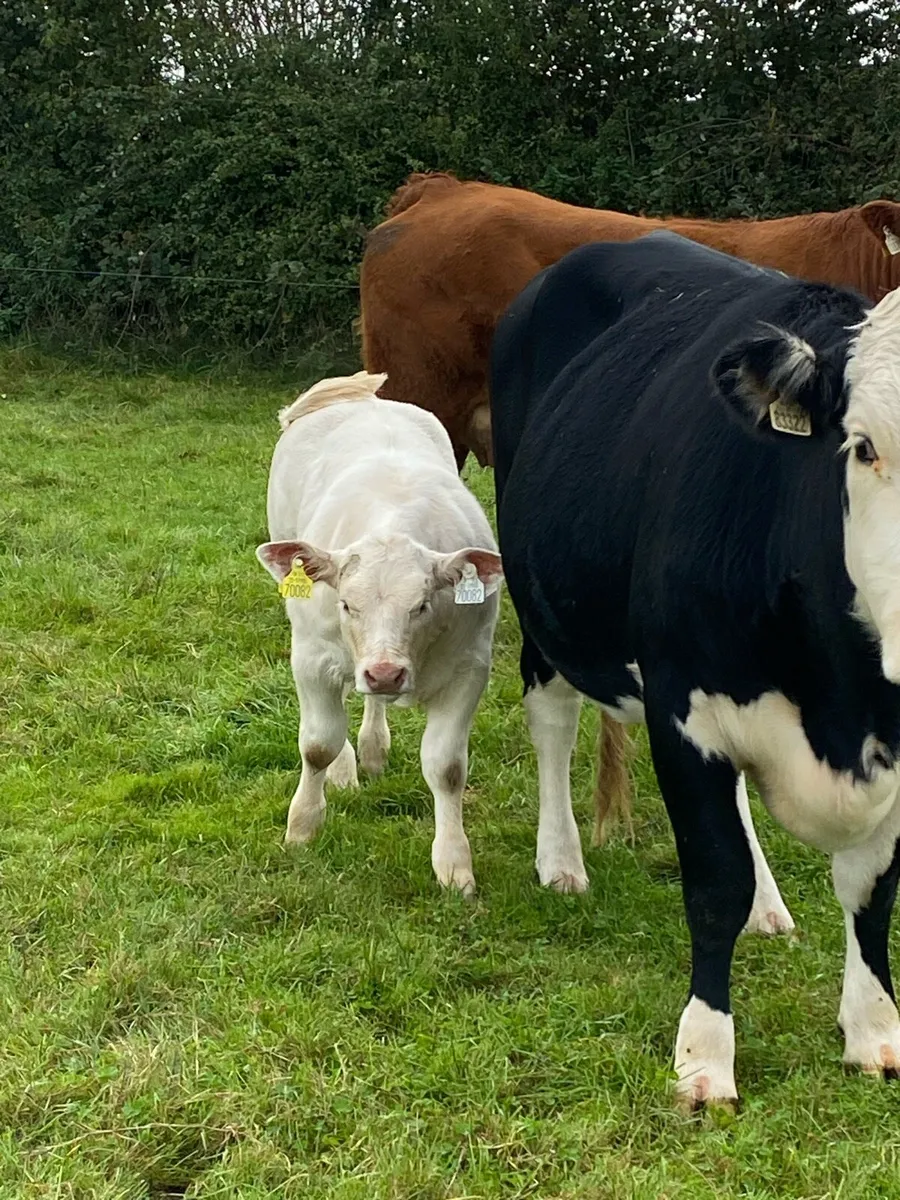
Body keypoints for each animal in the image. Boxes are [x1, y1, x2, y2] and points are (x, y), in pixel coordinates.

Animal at [256, 371, 502, 896]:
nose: (387, 673)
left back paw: (371, 748)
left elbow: (447, 768)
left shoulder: (470, 667)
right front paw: (303, 825)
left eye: (422, 605)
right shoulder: (310, 658)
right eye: (347, 604)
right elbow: (318, 744)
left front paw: (454, 864)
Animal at [490, 230, 900, 1107]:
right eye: (863, 446)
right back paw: (561, 861)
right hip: (543, 594)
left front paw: (875, 1032)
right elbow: (715, 882)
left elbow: (872, 887)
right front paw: (705, 1056)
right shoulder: (682, 707)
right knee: (552, 721)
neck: (845, 708)